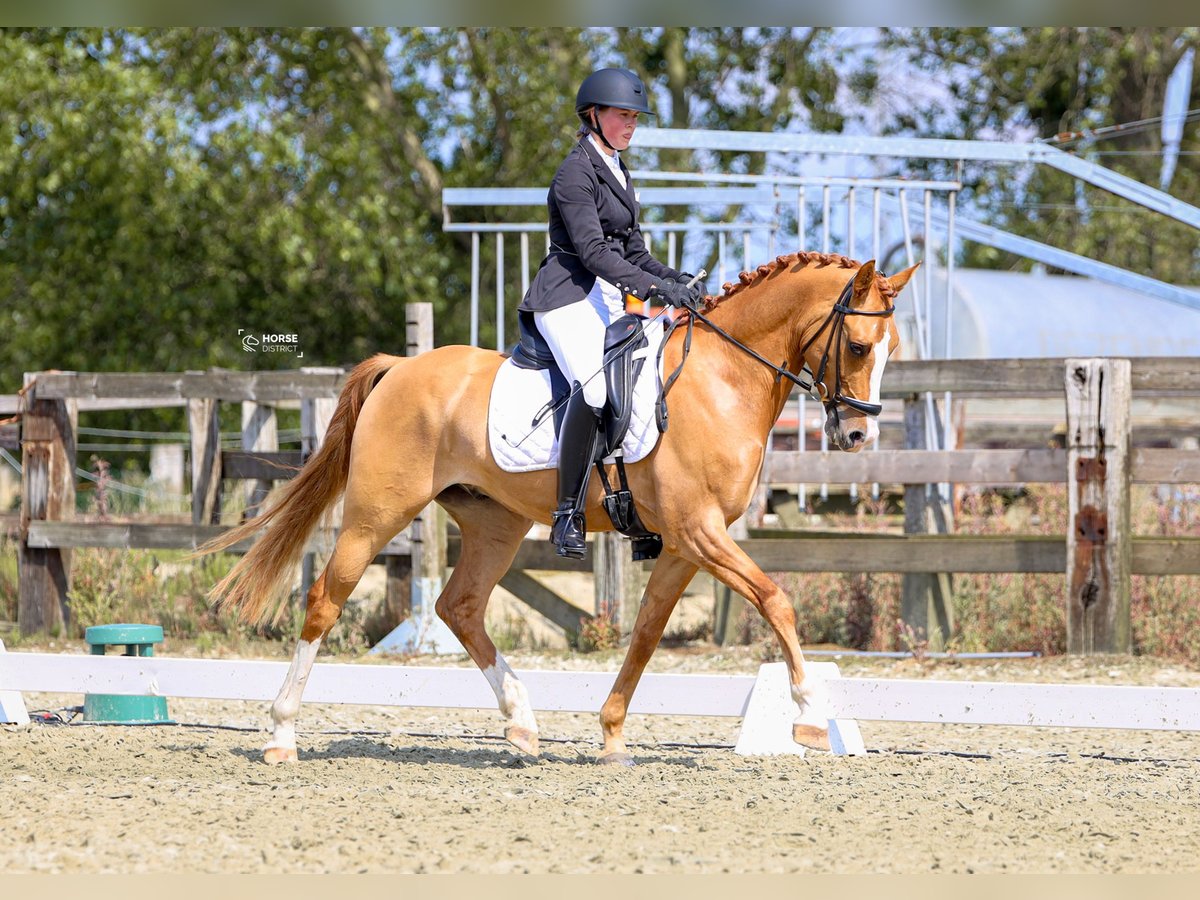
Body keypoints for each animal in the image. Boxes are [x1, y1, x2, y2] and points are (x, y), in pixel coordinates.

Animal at [201, 252, 916, 768]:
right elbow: (775, 599)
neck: (721, 380)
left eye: (892, 351)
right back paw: (281, 737)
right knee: (326, 599)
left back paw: (521, 725)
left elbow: (647, 632)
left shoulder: (686, 545)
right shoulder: (699, 532)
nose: (858, 435)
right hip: (379, 512)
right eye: (858, 346)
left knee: (460, 607)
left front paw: (613, 735)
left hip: (496, 522)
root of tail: (398, 368)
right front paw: (808, 714)